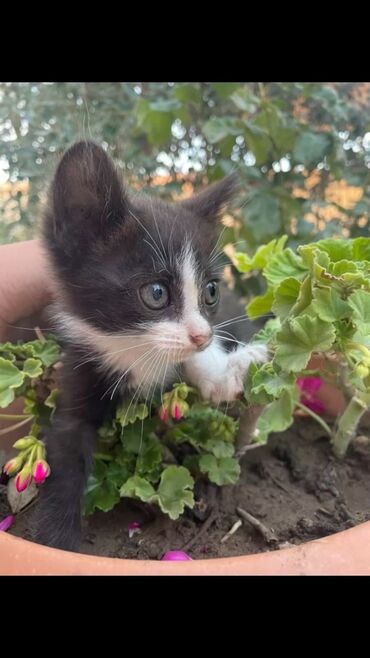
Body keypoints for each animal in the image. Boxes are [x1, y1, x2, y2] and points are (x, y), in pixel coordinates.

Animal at [34, 142, 266, 548]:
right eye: (156, 293)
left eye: (210, 291)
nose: (201, 335)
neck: (134, 347)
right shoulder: (81, 363)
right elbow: (67, 444)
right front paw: (56, 539)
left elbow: (197, 360)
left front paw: (225, 372)